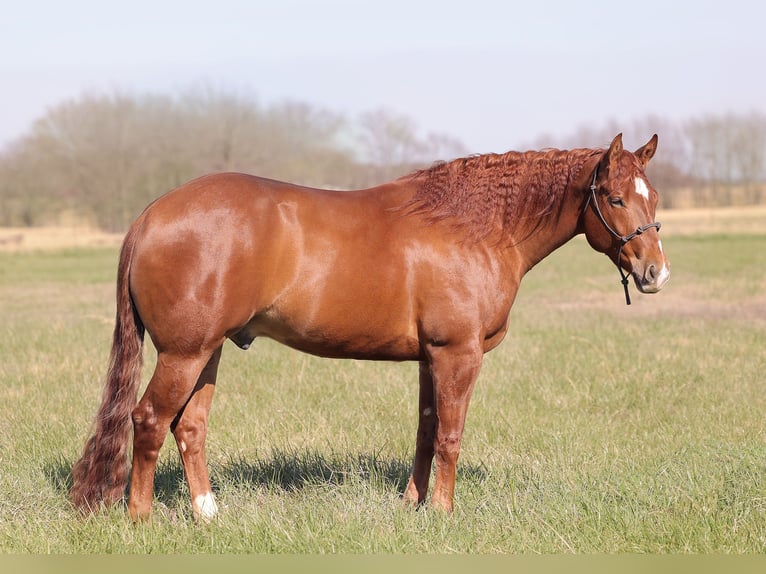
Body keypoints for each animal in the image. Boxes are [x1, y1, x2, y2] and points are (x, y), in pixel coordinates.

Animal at [72, 133, 672, 520]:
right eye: (615, 198)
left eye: (654, 197)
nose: (655, 273)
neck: (474, 226)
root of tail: (151, 215)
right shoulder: (457, 353)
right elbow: (450, 434)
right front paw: (444, 513)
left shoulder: (432, 357)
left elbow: (427, 431)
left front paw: (414, 504)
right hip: (185, 352)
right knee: (149, 420)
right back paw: (141, 517)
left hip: (207, 351)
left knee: (189, 427)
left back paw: (206, 514)